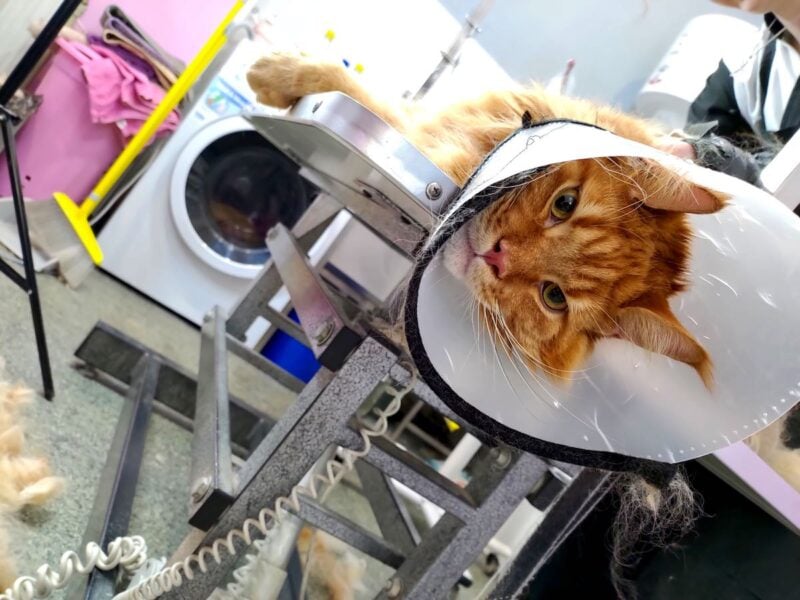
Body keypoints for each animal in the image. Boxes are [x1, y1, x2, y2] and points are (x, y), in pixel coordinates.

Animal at [247, 53, 726, 388]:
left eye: (554, 297)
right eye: (564, 203)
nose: (497, 256)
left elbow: (375, 103)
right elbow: (354, 85)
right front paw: (275, 73)